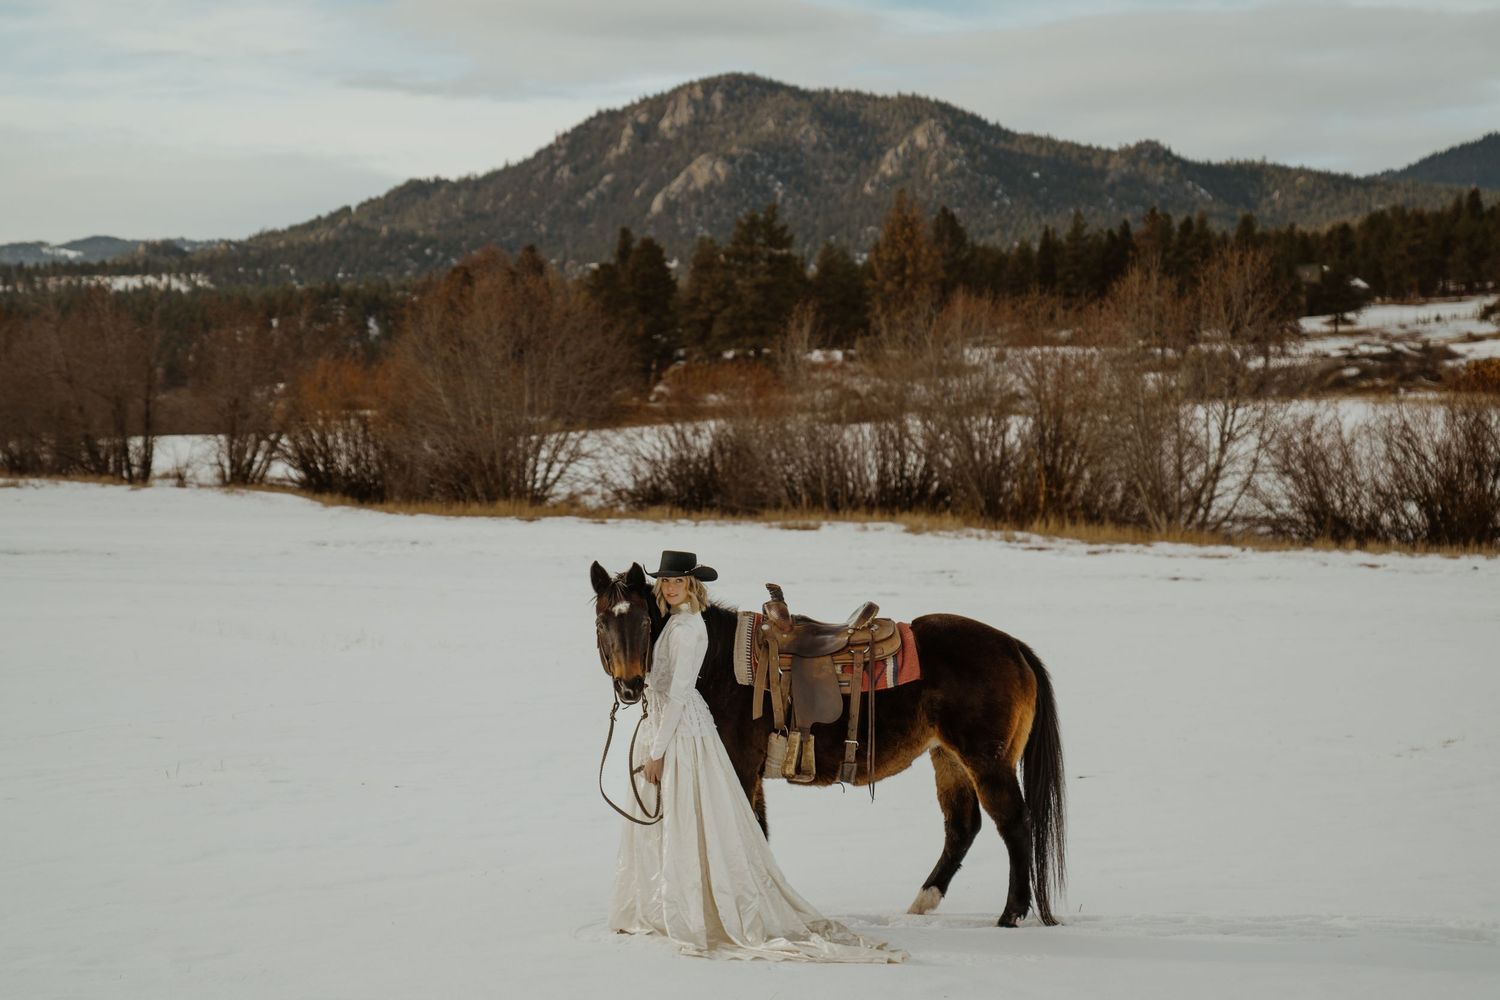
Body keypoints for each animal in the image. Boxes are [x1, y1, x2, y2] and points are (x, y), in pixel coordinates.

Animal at [589, 560, 1066, 928]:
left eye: (645, 621)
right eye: (602, 621)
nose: (630, 686)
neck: (720, 664)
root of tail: (1012, 646)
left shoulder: (740, 767)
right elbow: (758, 833)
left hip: (986, 761)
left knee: (1015, 823)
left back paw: (1011, 914)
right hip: (947, 757)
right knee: (963, 827)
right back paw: (922, 903)